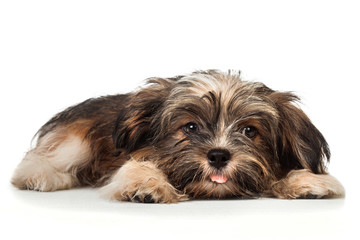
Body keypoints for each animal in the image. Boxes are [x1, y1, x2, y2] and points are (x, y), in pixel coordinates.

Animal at [11, 70, 344, 203]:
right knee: (39, 161)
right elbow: (137, 165)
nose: (219, 155)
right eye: (191, 127)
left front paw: (306, 182)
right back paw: (39, 177)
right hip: (75, 140)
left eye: (250, 131)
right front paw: (144, 184)